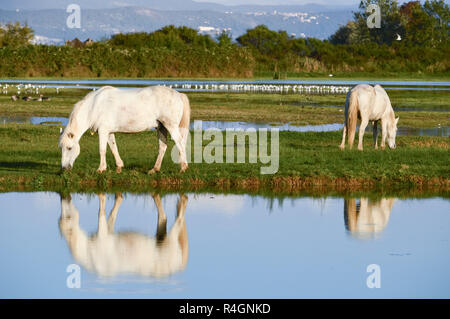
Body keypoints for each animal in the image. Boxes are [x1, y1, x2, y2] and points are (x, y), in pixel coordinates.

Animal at [58, 85, 190, 172]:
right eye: (61, 148)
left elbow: (102, 150)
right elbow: (113, 148)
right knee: (162, 146)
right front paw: (119, 166)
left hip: (171, 126)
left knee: (180, 143)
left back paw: (183, 168)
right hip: (161, 127)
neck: (94, 106)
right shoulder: (109, 132)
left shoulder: (103, 131)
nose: (64, 168)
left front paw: (101, 169)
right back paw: (154, 169)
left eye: (69, 148)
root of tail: (179, 94)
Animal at [58, 194, 188, 278]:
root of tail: (176, 267)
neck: (88, 251)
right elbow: (111, 215)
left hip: (170, 239)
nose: (65, 198)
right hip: (160, 238)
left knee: (179, 220)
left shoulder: (103, 233)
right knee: (163, 218)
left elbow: (101, 213)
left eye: (68, 217)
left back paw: (182, 201)